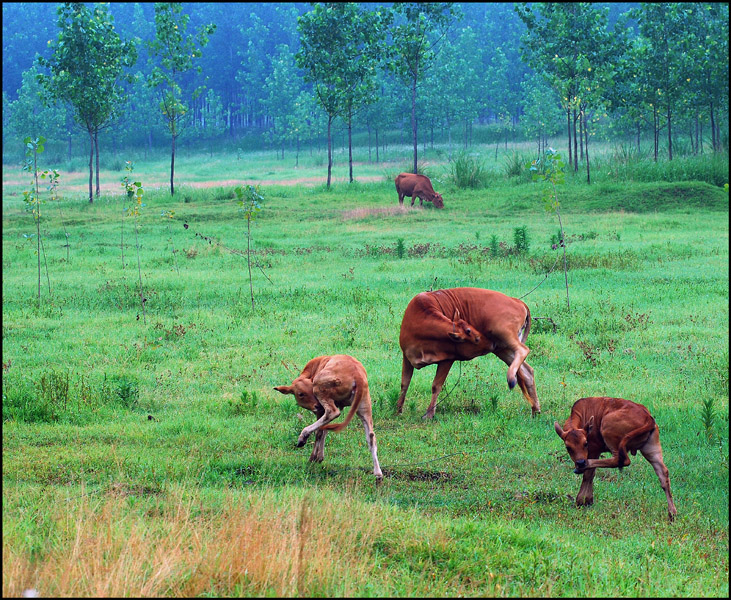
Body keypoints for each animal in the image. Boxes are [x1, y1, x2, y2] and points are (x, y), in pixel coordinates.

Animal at [398, 288, 540, 420]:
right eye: (476, 338)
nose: (491, 343)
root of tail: (517, 301)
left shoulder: (448, 359)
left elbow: (436, 386)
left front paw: (429, 414)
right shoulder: (406, 356)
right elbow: (404, 383)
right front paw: (398, 410)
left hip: (504, 334)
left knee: (523, 350)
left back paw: (511, 378)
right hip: (502, 348)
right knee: (527, 372)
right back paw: (535, 410)